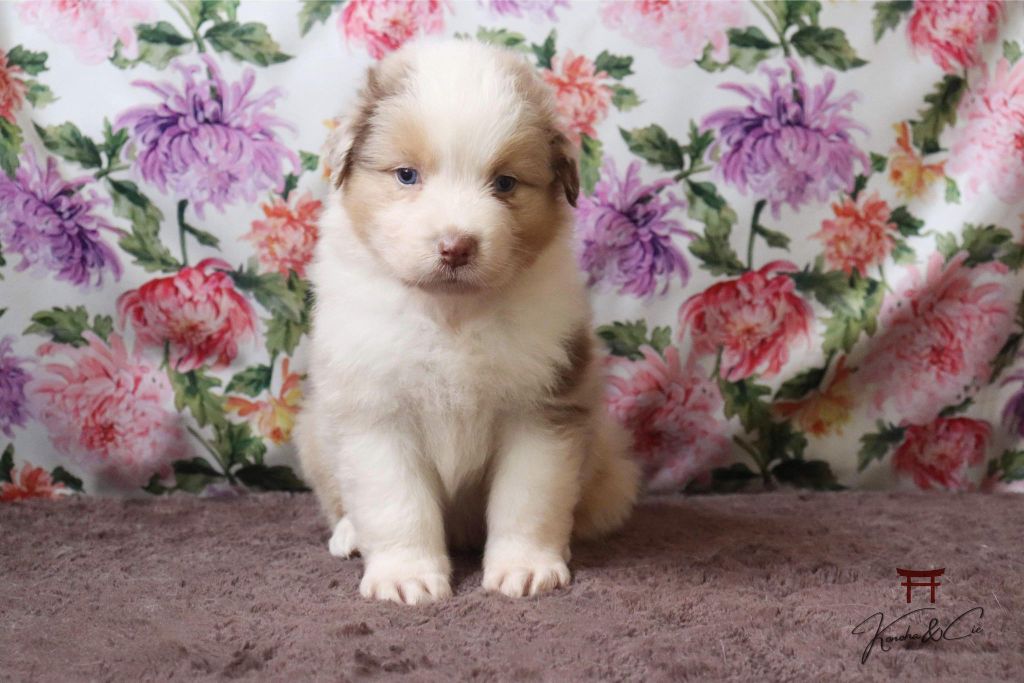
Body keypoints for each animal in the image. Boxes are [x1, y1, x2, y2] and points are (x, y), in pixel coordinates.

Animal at [296, 39, 639, 605]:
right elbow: (395, 502)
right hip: (315, 432)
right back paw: (348, 536)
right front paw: (407, 576)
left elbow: (528, 496)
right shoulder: (374, 410)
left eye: (505, 183)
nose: (456, 246)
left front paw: (524, 568)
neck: (450, 313)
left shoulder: (543, 406)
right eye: (406, 175)